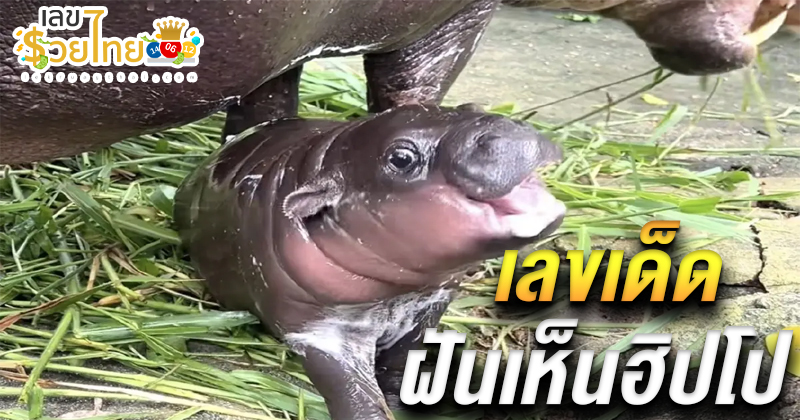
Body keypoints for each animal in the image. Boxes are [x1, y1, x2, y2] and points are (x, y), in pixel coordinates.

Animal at [172, 104, 566, 419]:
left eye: (470, 106)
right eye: (401, 159)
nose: (510, 130)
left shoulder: (432, 303)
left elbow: (407, 356)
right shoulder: (319, 334)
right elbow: (354, 397)